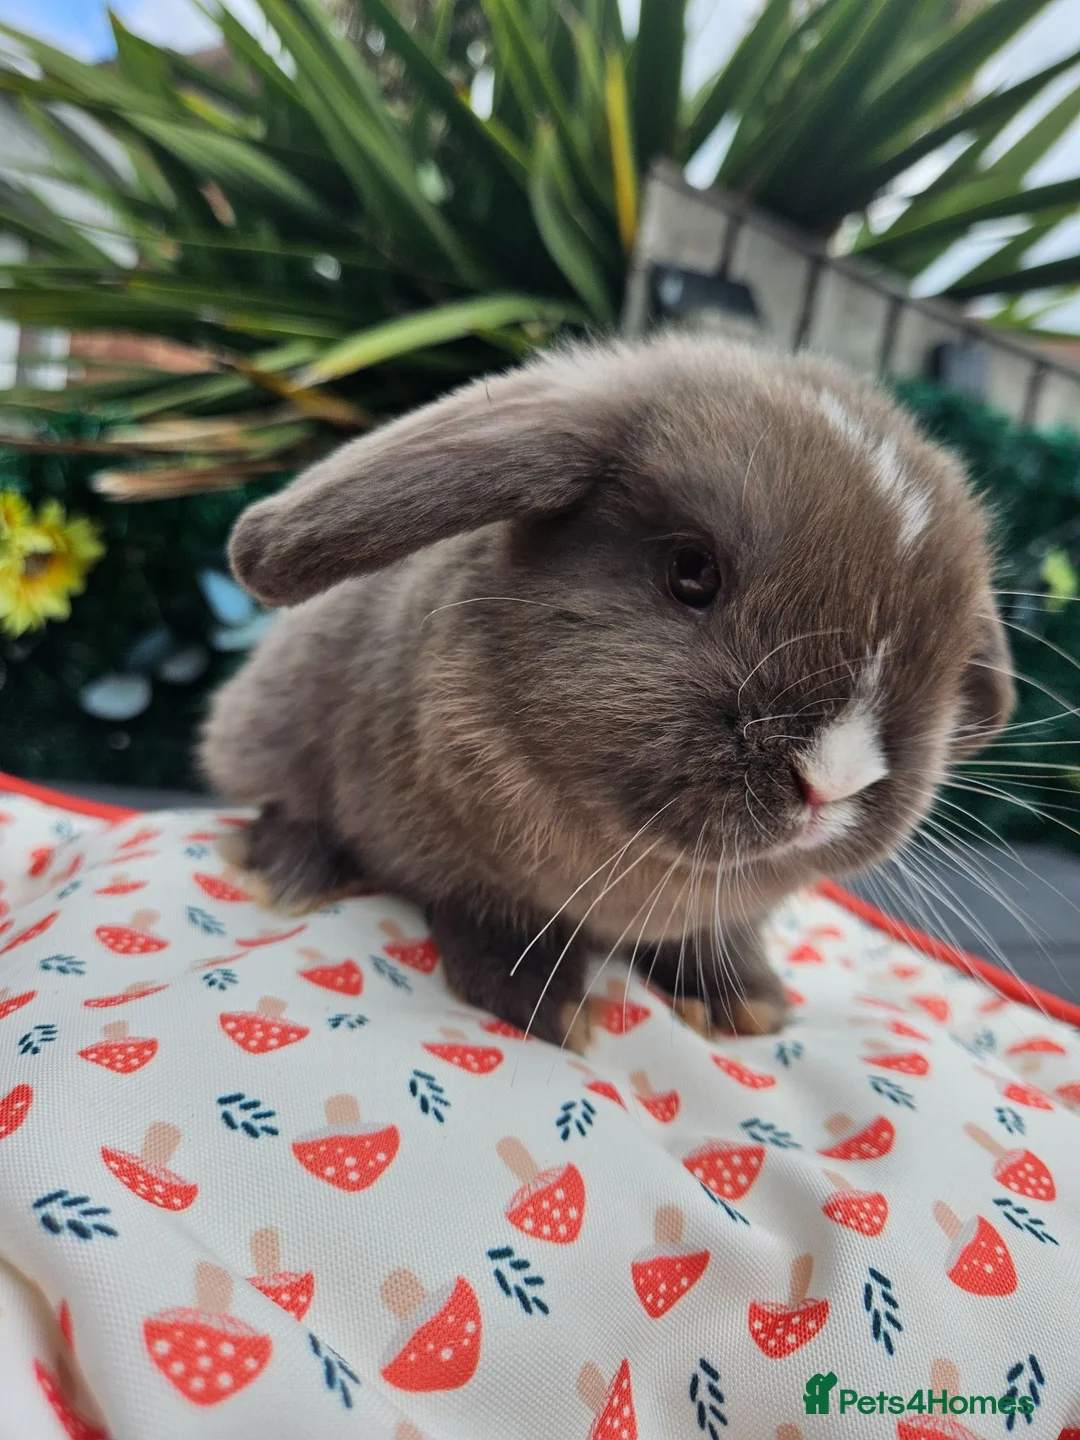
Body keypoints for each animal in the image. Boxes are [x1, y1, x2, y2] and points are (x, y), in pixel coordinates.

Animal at [200, 332, 1013, 1049]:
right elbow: (495, 920)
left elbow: (717, 940)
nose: (833, 783)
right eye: (692, 572)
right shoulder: (472, 875)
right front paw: (547, 1007)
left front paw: (751, 1005)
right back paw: (288, 870)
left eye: (946, 650)